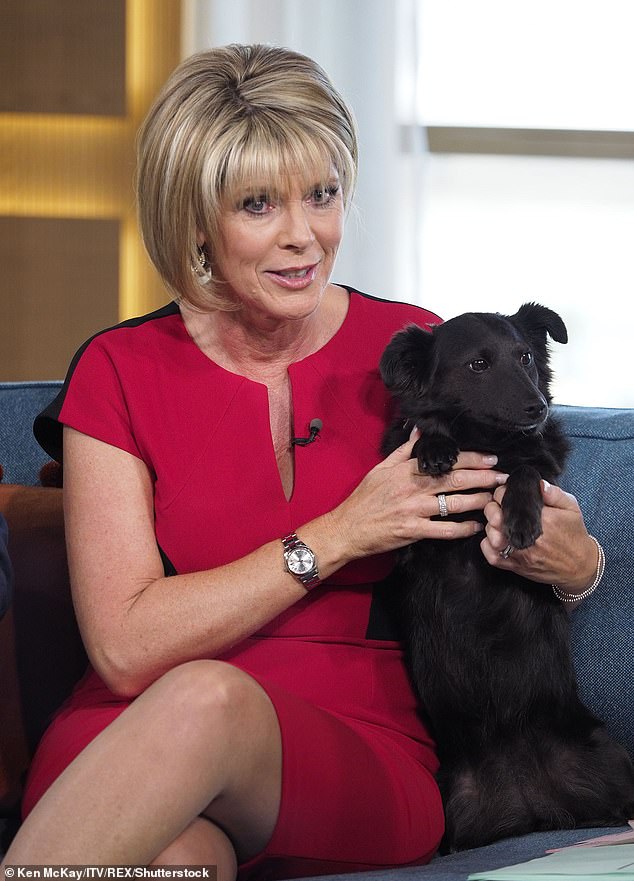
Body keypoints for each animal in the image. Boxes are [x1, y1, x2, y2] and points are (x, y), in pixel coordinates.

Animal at [378, 304, 632, 852]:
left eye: (525, 357)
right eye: (478, 365)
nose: (537, 408)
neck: (483, 438)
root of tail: (535, 811)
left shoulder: (542, 465)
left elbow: (523, 469)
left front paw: (519, 518)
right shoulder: (403, 539)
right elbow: (422, 433)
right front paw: (434, 447)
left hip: (610, 755)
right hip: (452, 803)